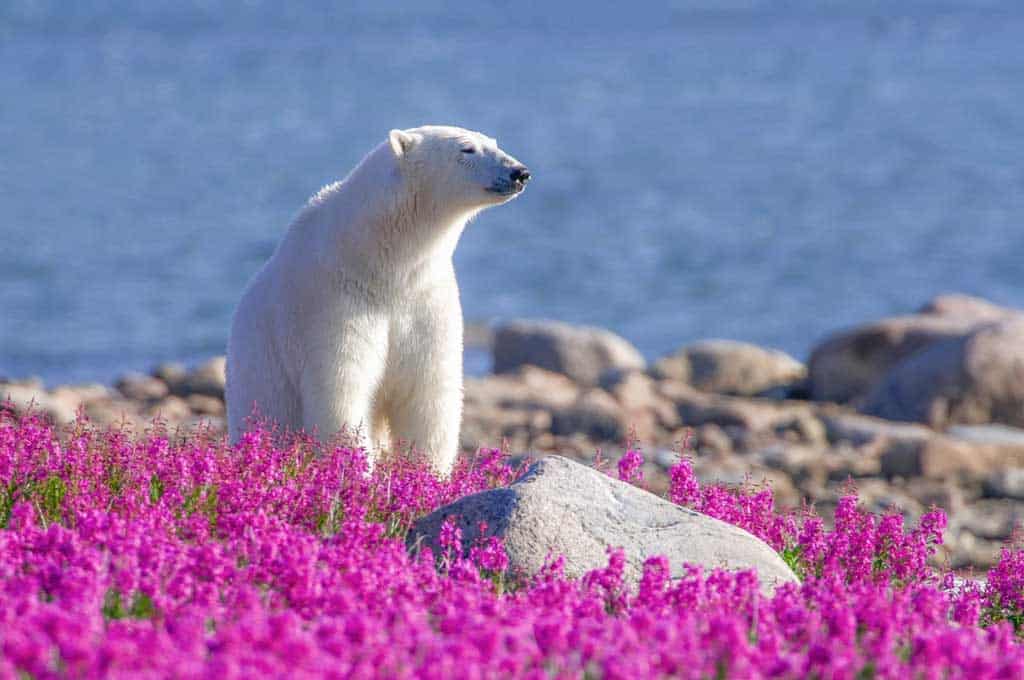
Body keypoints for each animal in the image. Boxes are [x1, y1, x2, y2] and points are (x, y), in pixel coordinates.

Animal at [228, 125, 532, 473]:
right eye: (467, 149)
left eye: (494, 142)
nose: (519, 172)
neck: (379, 262)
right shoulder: (332, 300)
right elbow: (342, 389)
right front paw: (357, 473)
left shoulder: (424, 298)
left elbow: (428, 394)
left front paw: (428, 474)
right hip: (260, 380)